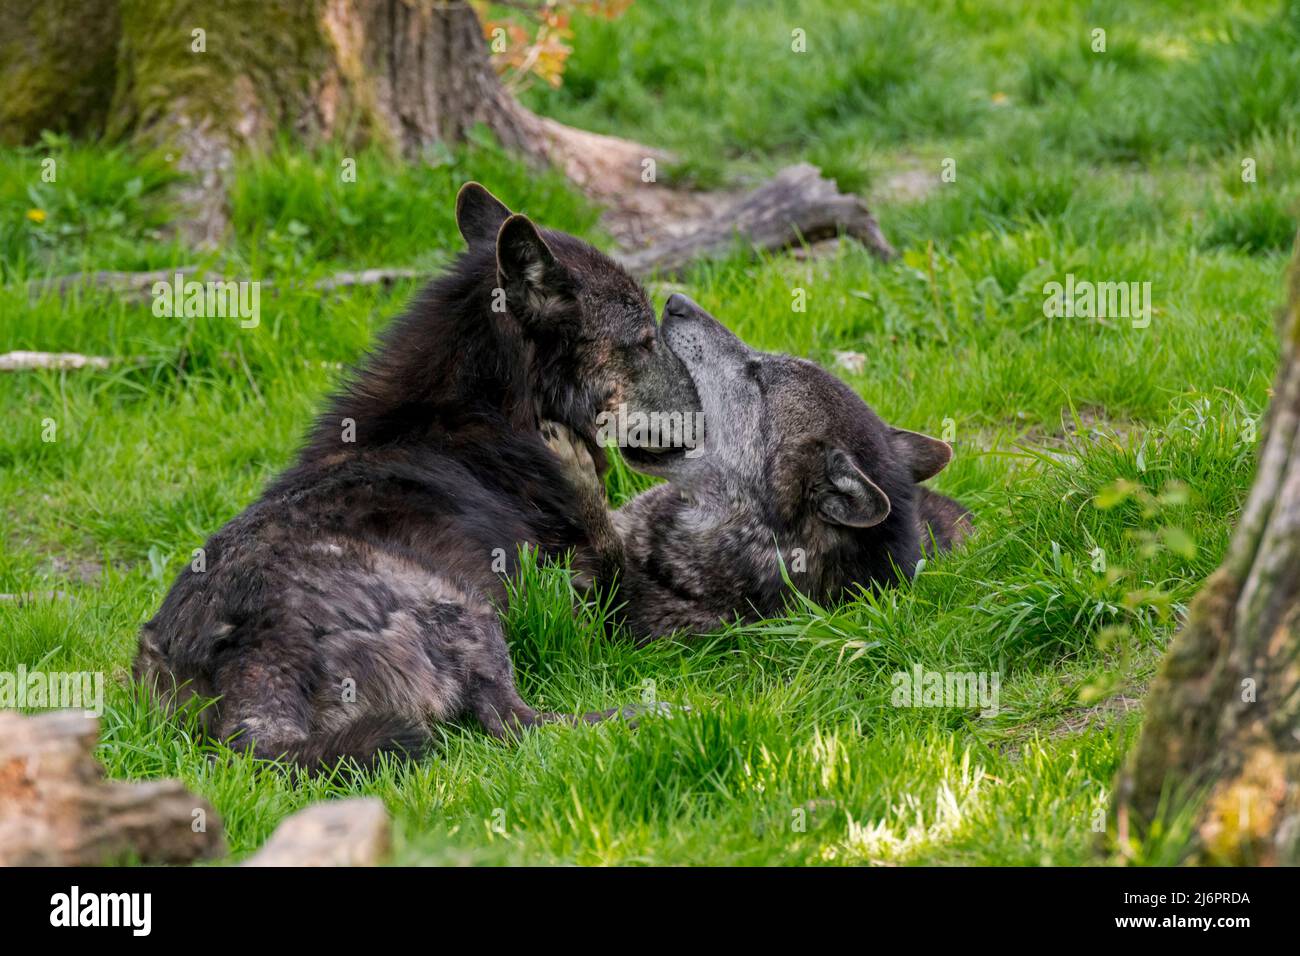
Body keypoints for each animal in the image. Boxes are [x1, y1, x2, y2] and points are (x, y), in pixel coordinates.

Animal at [133, 184, 699, 769]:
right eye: (645, 340)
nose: (706, 414)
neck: (481, 418)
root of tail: (250, 672)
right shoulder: (602, 602)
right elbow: (613, 552)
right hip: (466, 612)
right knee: (519, 727)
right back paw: (653, 713)